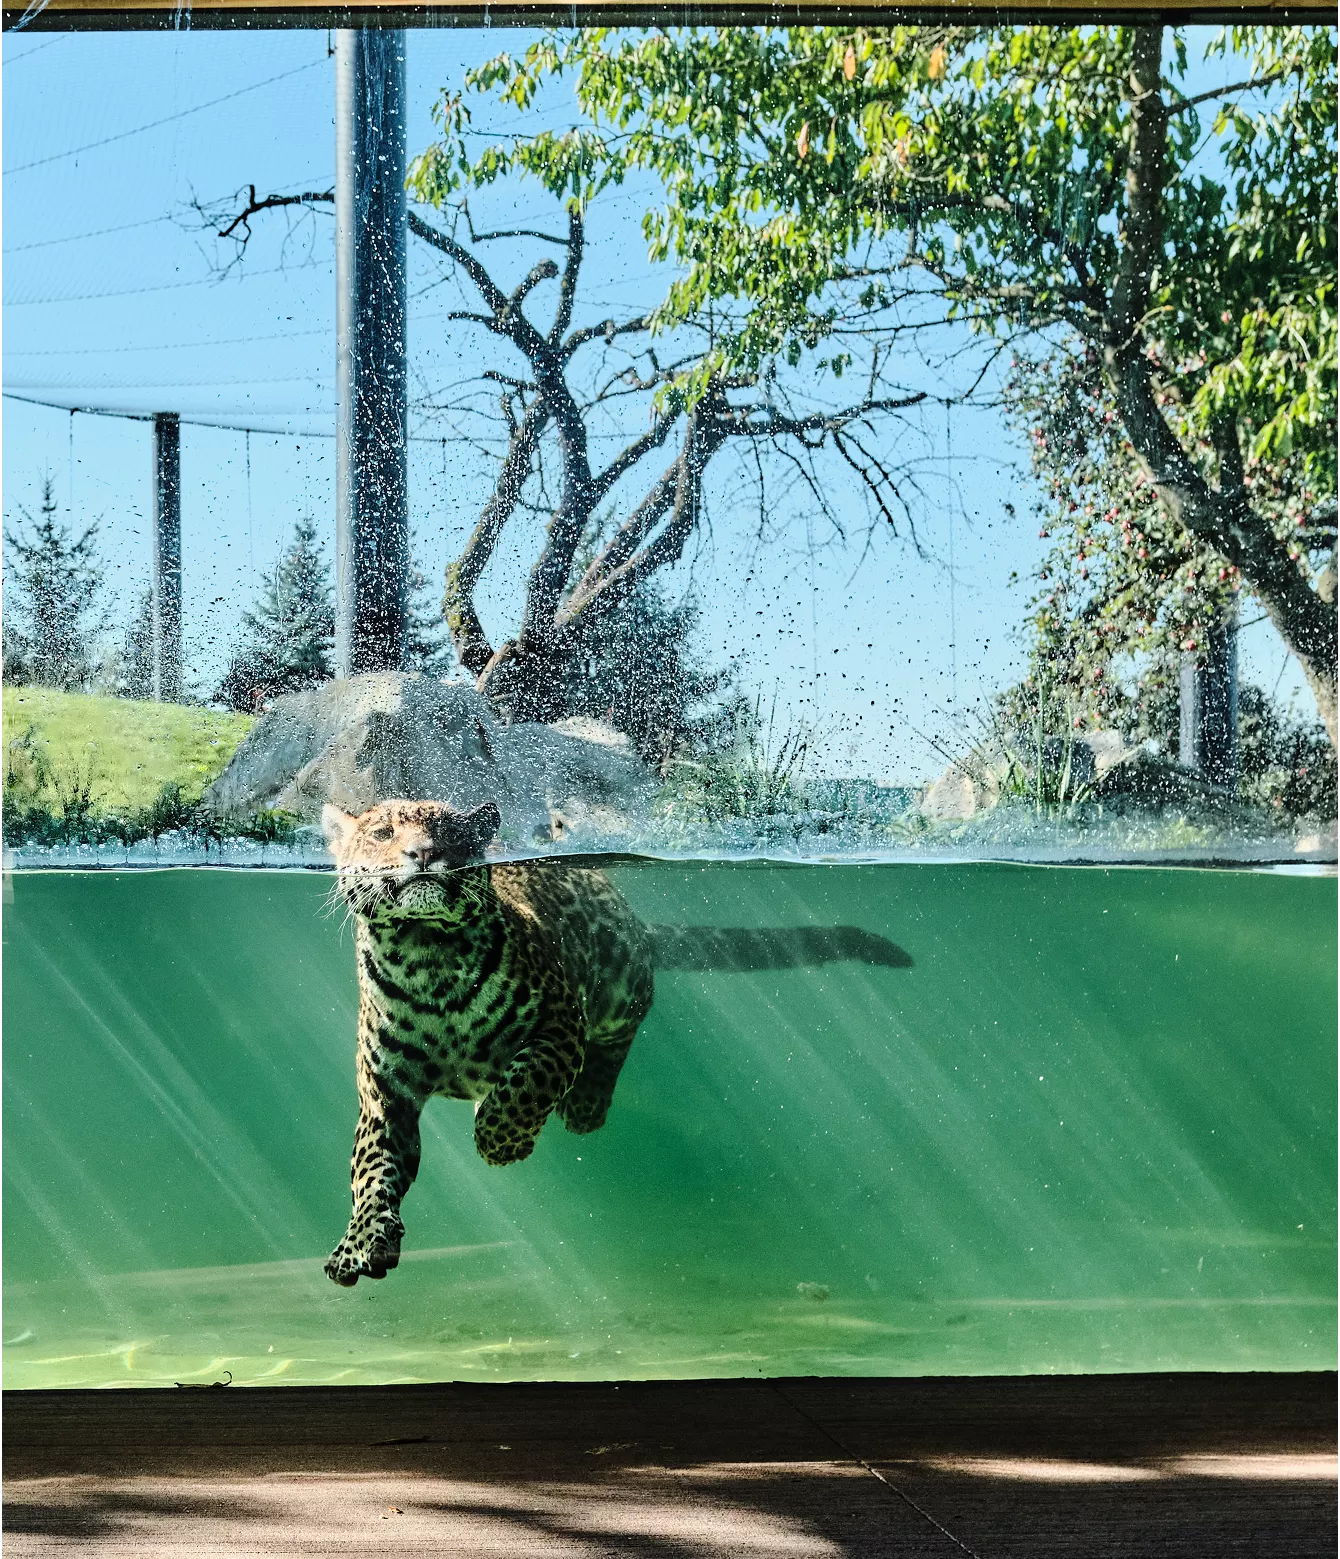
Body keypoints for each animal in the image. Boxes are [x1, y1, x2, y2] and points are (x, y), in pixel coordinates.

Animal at [320, 797, 653, 1288]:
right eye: (382, 833)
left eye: (453, 834)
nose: (423, 853)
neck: (426, 958)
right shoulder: (385, 1095)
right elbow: (371, 1167)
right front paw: (361, 1241)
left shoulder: (559, 1023)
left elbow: (525, 1085)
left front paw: (501, 1144)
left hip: (622, 977)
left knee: (622, 1028)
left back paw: (585, 1104)